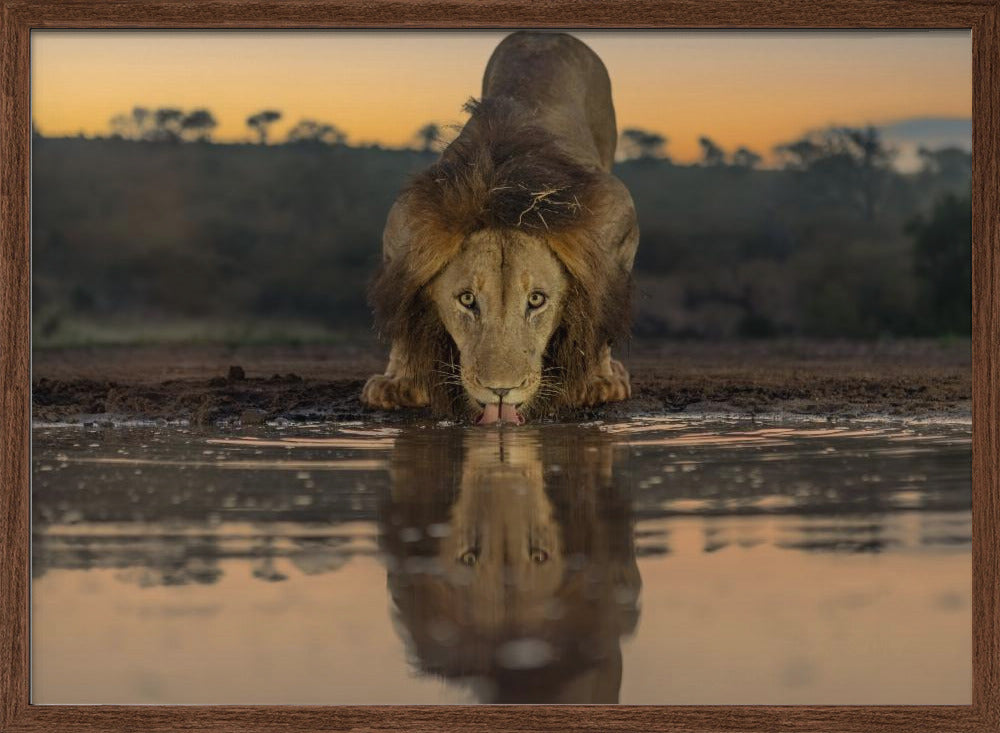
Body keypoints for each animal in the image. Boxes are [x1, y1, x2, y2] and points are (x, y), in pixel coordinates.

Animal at [362, 31, 639, 424]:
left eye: (536, 300)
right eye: (467, 300)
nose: (501, 391)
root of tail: (546, 33)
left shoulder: (618, 219)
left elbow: (604, 307)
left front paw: (597, 383)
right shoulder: (402, 232)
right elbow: (401, 313)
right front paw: (398, 384)